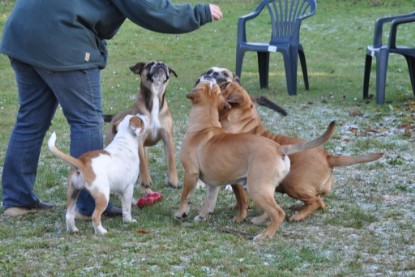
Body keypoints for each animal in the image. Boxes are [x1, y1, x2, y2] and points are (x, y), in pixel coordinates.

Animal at [105, 61, 179, 193]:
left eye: (165, 65)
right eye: (150, 64)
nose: (160, 64)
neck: (154, 98)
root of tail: (115, 118)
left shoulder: (168, 138)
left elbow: (171, 160)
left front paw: (173, 180)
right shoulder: (139, 141)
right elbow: (143, 165)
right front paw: (145, 180)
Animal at [174, 77, 336, 239]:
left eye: (223, 85)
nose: (210, 77)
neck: (204, 125)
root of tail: (279, 148)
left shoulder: (191, 172)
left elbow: (185, 195)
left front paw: (181, 213)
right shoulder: (214, 184)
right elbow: (209, 201)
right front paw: (202, 216)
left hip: (263, 187)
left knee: (280, 212)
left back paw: (265, 234)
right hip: (265, 188)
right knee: (278, 208)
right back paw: (263, 219)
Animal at [219, 80, 386, 222]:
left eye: (225, 85)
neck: (245, 124)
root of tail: (328, 157)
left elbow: (241, 199)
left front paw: (239, 217)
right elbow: (242, 199)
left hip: (293, 184)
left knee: (316, 201)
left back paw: (298, 216)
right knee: (319, 202)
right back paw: (299, 208)